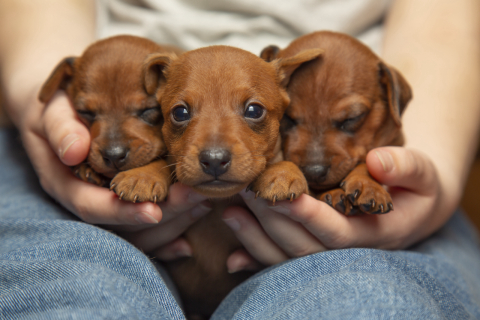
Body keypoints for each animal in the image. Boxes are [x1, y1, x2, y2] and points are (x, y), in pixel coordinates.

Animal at [262, 30, 412, 215]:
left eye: (352, 118)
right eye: (287, 117)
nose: (314, 172)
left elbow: (367, 162)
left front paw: (369, 186)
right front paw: (282, 173)